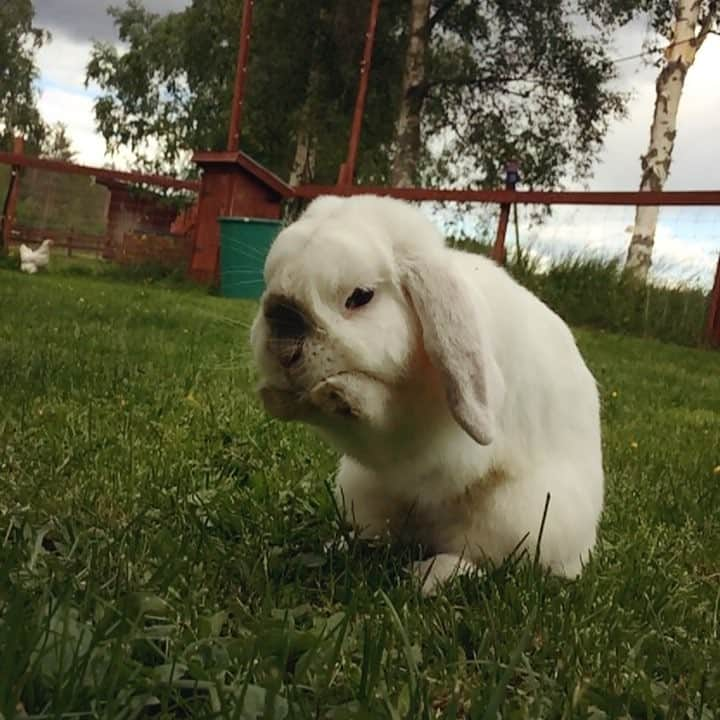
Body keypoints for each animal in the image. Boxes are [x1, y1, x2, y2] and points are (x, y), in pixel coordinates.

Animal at [250, 194, 604, 592]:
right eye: (269, 282)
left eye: (360, 297)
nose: (282, 344)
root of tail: (583, 549)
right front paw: (275, 395)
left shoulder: (429, 442)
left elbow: (376, 411)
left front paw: (339, 392)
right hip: (363, 491)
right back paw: (339, 545)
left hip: (515, 515)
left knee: (483, 558)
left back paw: (429, 577)